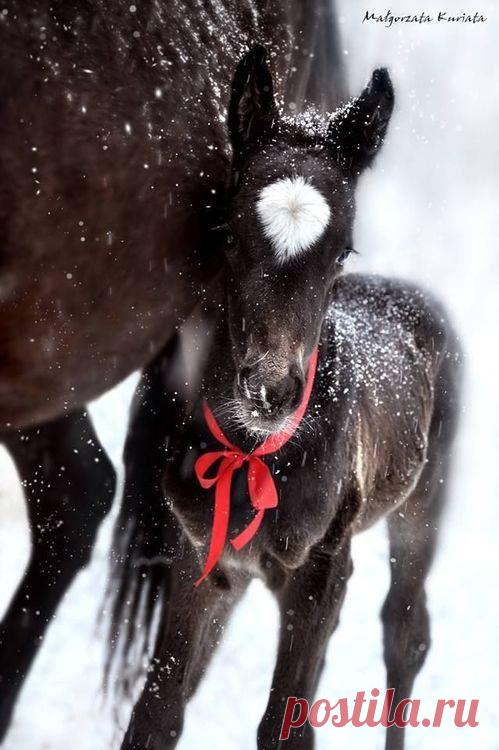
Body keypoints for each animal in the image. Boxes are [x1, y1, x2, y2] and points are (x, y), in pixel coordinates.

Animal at [108, 45, 461, 750]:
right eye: (229, 235)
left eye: (342, 250)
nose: (270, 390)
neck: (255, 453)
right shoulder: (199, 556)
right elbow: (159, 710)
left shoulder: (322, 571)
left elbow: (285, 728)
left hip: (421, 509)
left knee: (405, 632)